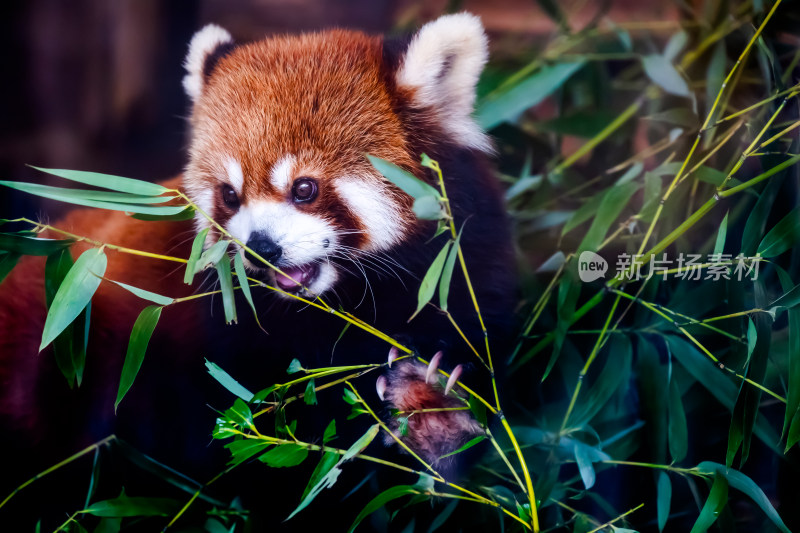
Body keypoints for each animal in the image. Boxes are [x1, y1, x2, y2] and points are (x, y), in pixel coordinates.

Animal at [0, 11, 516, 524]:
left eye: (304, 188)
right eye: (230, 196)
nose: (260, 248)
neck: (336, 307)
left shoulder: (465, 277)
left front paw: (433, 414)